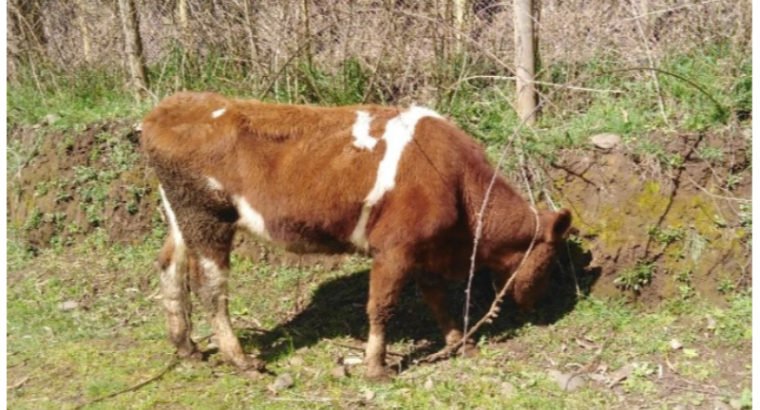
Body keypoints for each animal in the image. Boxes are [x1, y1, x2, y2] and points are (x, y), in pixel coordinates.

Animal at [141, 92, 568, 378]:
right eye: (549, 261)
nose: (540, 306)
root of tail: (166, 110)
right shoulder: (394, 247)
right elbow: (382, 305)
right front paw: (376, 367)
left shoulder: (423, 247)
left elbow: (436, 298)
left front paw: (456, 341)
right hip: (208, 218)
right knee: (211, 288)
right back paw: (241, 359)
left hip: (181, 216)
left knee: (168, 267)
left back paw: (187, 346)